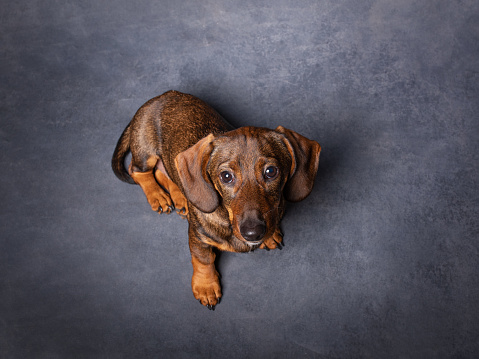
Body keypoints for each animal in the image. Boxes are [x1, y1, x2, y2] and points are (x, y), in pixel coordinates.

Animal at [112, 90, 322, 310]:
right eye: (226, 176)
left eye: (271, 171)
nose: (253, 232)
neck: (228, 218)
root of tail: (158, 97)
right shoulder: (198, 236)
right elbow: (203, 260)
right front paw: (206, 287)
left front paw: (270, 236)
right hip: (145, 152)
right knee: (137, 171)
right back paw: (158, 196)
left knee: (164, 171)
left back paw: (180, 199)